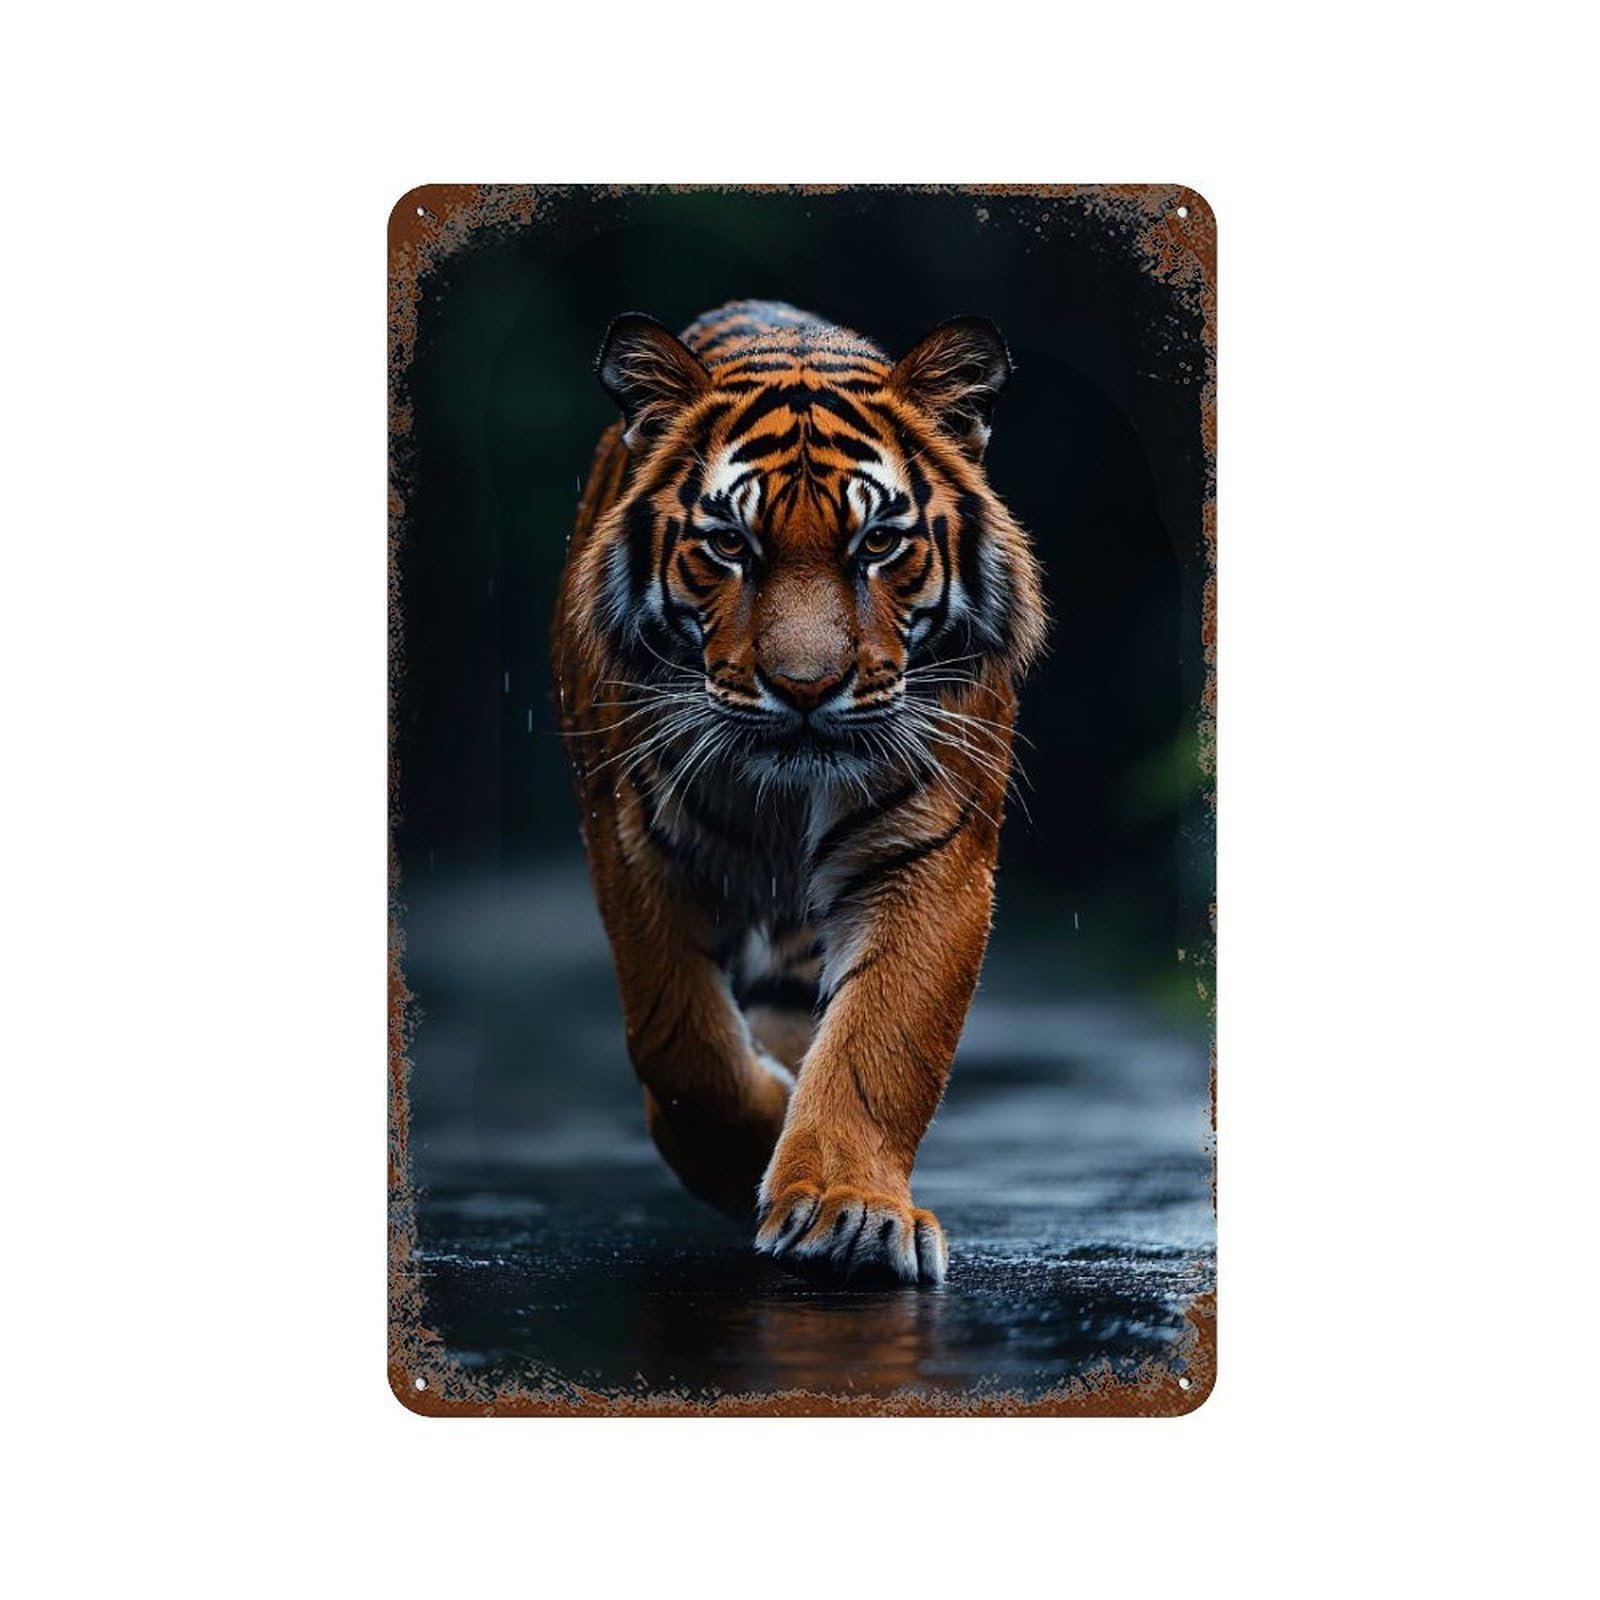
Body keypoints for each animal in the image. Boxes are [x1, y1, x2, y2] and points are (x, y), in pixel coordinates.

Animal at [552, 300, 1046, 1284]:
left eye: (878, 543)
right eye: (730, 546)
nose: (807, 688)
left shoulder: (930, 857)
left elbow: (881, 1041)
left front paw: (845, 1209)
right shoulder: (635, 847)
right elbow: (682, 1043)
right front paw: (754, 1145)